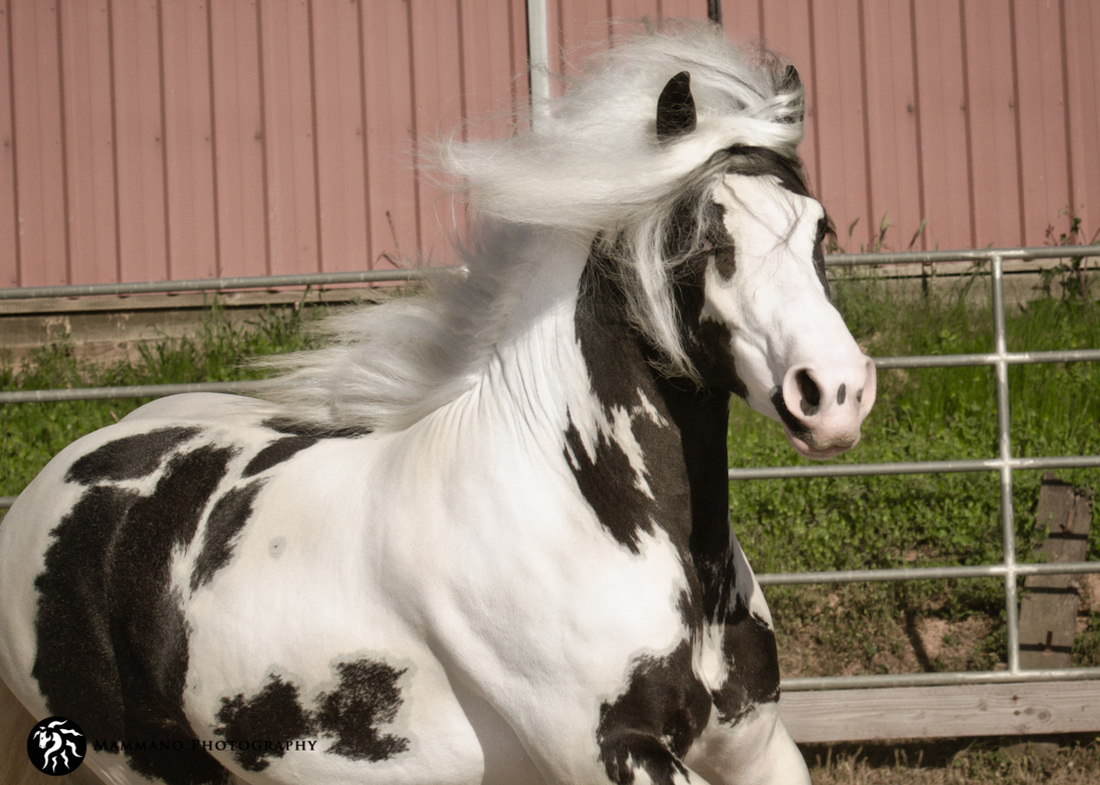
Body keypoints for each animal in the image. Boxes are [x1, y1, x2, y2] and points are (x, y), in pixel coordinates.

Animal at [0, 24, 875, 782]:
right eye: (701, 239)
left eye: (819, 229)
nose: (833, 393)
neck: (581, 506)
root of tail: (42, 494)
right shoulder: (612, 753)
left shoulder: (755, 745)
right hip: (143, 765)